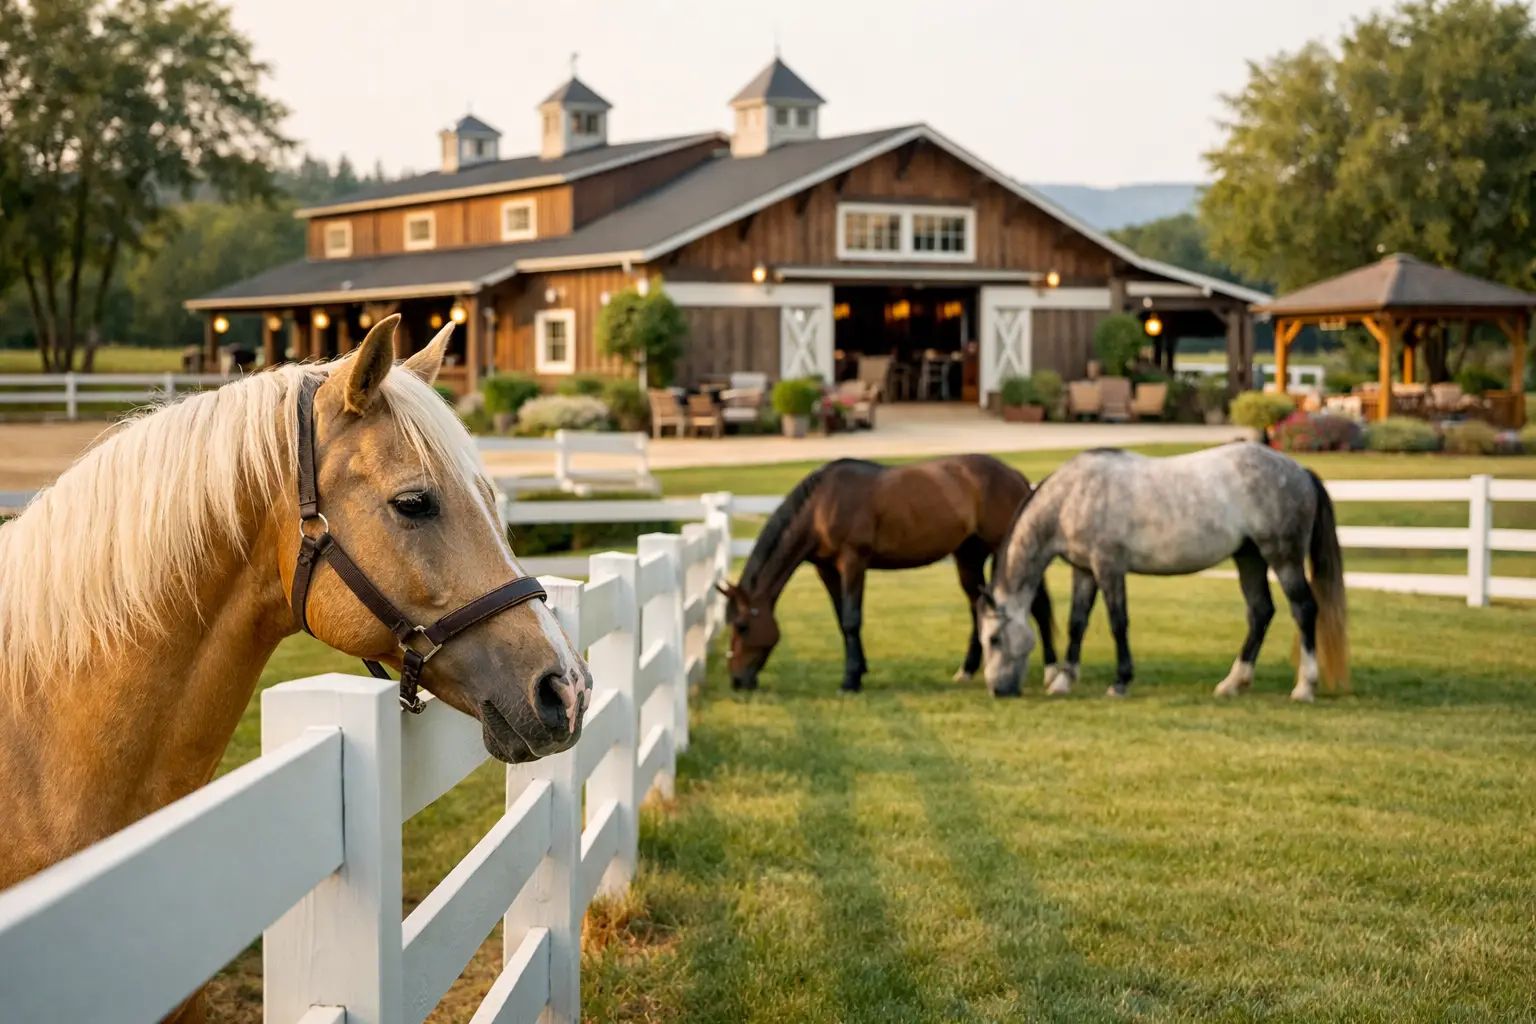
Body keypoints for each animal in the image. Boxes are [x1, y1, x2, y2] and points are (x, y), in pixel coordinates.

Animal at [718, 455, 1056, 692]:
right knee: (978, 605)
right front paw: (859, 669)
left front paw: (850, 681)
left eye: (743, 626)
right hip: (968, 556)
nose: (737, 680)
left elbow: (851, 619)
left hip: (1007, 548)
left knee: (1038, 605)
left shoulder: (853, 561)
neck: (822, 505)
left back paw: (1052, 672)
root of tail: (1016, 476)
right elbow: (841, 620)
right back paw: (968, 669)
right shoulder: (826, 570)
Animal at [977, 443, 1348, 702]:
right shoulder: (1084, 571)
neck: (1072, 496)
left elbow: (1118, 623)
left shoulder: (1108, 567)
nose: (997, 690)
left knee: (1303, 609)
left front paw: (1120, 682)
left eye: (994, 639)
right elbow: (1076, 623)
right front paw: (1064, 680)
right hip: (1249, 557)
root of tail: (1299, 470)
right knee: (1260, 612)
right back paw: (1232, 683)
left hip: (1282, 557)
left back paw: (1304, 687)